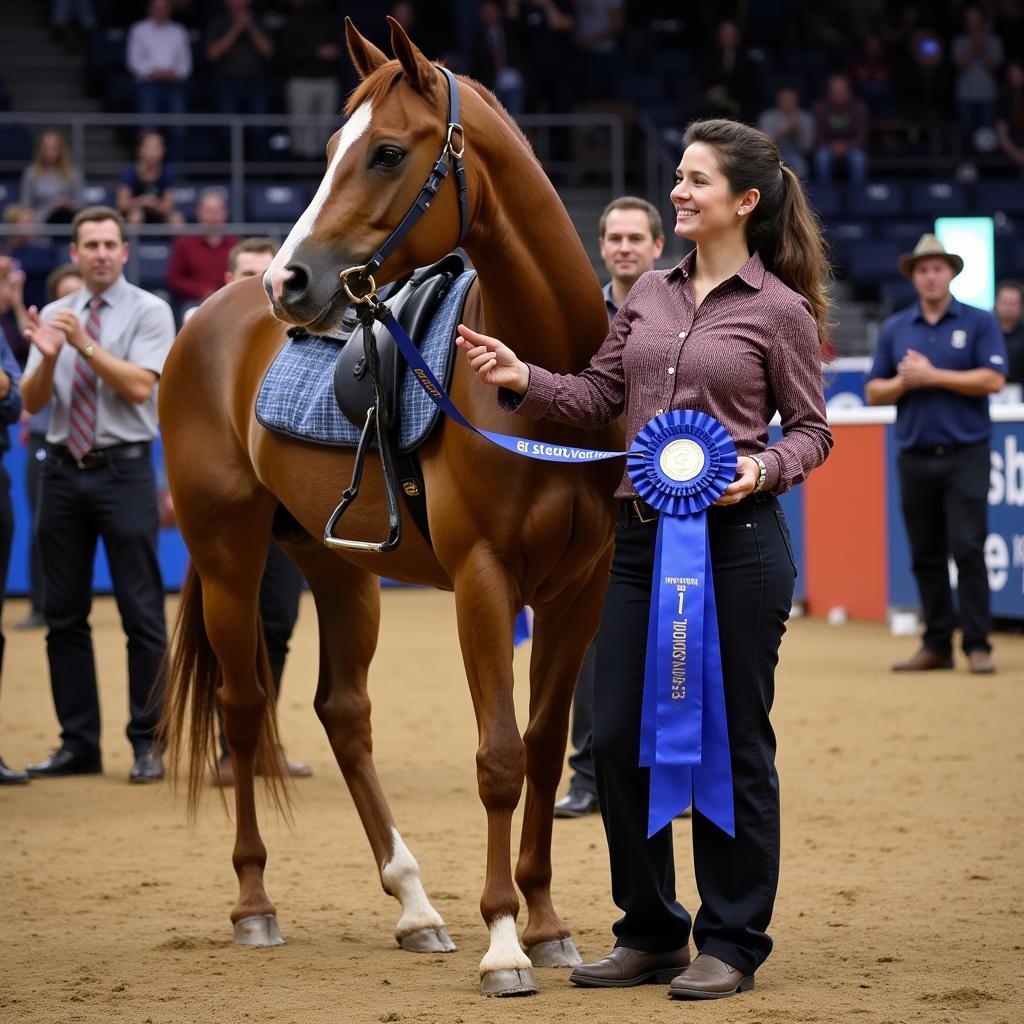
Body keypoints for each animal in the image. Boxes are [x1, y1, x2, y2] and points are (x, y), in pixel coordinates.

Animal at [160, 14, 622, 991]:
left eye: (384, 151)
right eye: (335, 143)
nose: (290, 282)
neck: (541, 381)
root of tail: (209, 318)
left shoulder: (579, 589)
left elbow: (542, 745)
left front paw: (549, 925)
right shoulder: (486, 581)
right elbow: (497, 756)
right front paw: (503, 942)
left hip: (338, 568)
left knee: (344, 714)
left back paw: (414, 906)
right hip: (227, 557)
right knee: (245, 710)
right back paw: (255, 905)